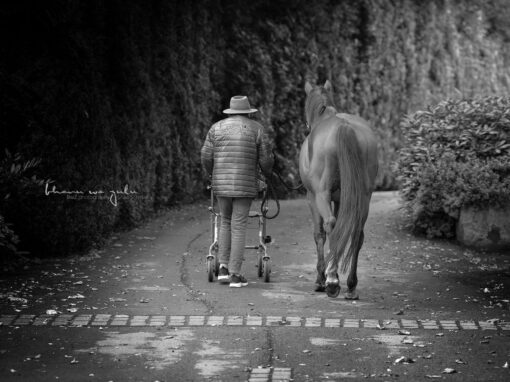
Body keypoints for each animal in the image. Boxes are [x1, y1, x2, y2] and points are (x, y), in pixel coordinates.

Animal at [296, 80, 376, 300]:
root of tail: (344, 127)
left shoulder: (311, 198)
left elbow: (319, 234)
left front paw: (320, 279)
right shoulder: (341, 199)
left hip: (321, 195)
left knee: (331, 225)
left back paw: (331, 281)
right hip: (362, 197)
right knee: (356, 232)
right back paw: (351, 286)